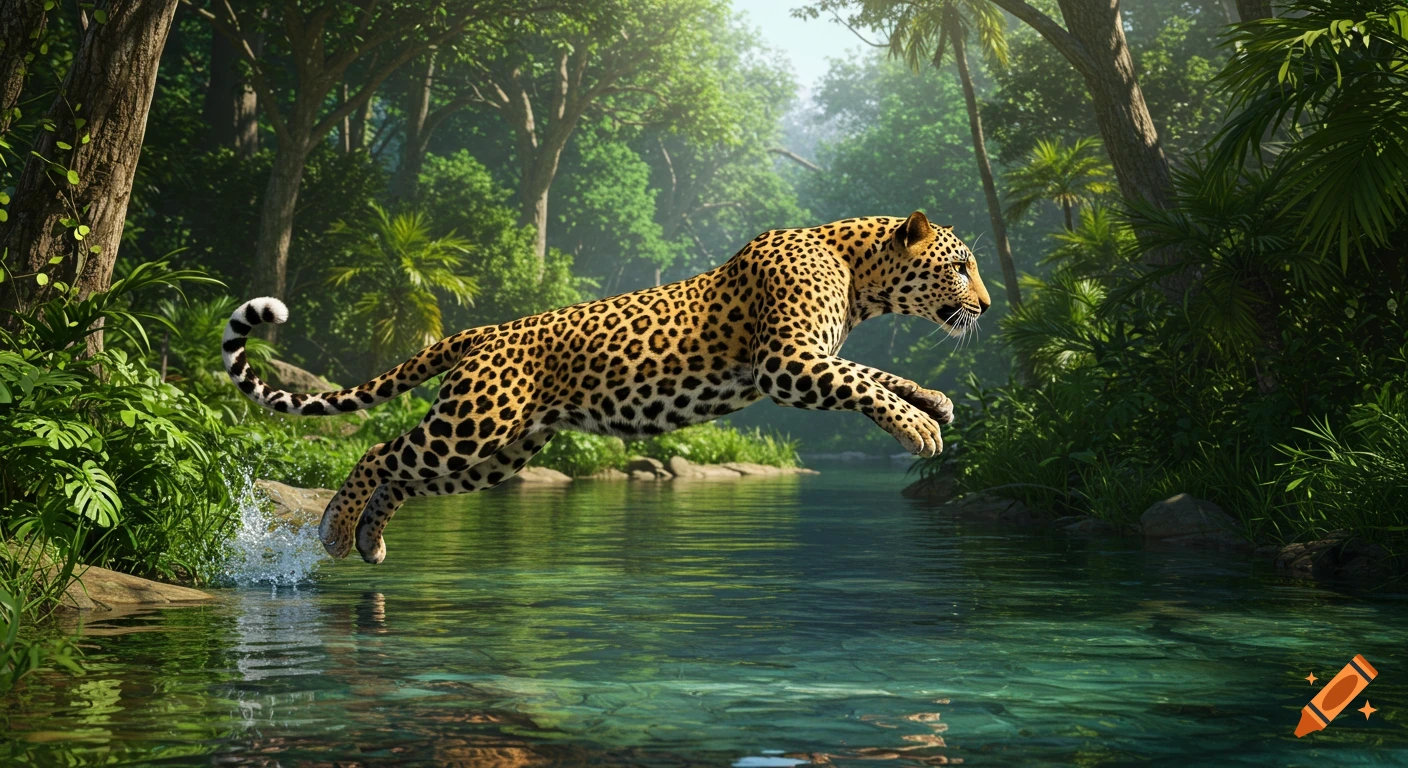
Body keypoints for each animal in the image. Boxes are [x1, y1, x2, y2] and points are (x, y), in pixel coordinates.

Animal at [222, 211, 991, 564]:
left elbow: (876, 374)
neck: (859, 274)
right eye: (961, 267)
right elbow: (865, 384)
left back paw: (370, 541)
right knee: (380, 452)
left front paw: (935, 402)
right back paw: (334, 528)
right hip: (472, 426)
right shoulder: (786, 362)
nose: (985, 307)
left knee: (403, 475)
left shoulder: (806, 359)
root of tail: (486, 331)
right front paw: (920, 427)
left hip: (495, 454)